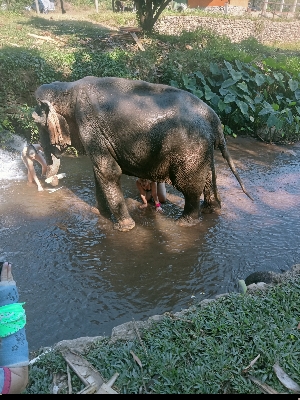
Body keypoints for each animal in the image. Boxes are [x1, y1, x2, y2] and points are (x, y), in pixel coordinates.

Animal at [32, 76, 253, 231]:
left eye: (35, 121)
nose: (47, 179)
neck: (66, 89)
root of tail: (215, 119)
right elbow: (99, 172)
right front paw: (99, 213)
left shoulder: (90, 127)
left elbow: (108, 172)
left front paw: (124, 228)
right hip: (203, 149)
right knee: (207, 177)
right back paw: (211, 211)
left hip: (191, 149)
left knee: (189, 186)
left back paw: (184, 223)